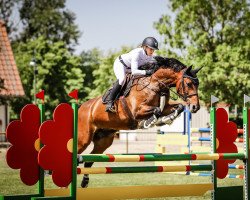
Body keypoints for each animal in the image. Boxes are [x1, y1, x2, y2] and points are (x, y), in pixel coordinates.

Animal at [77, 56, 202, 188]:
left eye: (197, 84)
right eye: (188, 84)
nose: (195, 107)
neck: (155, 84)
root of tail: (81, 107)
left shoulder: (165, 107)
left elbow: (179, 107)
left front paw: (166, 119)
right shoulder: (136, 111)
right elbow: (157, 110)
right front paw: (148, 122)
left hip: (103, 141)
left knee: (89, 161)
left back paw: (85, 182)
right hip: (84, 139)